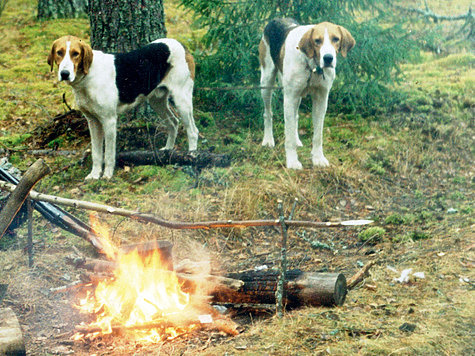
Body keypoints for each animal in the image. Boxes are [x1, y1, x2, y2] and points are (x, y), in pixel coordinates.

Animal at [47, 36, 199, 179]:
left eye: (76, 53)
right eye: (59, 52)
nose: (64, 74)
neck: (88, 74)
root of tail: (181, 45)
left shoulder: (109, 121)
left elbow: (108, 154)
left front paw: (107, 175)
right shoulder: (93, 122)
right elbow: (96, 153)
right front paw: (94, 175)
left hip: (182, 99)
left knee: (193, 131)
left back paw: (191, 157)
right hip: (157, 101)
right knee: (173, 123)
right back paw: (167, 151)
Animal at [258, 18, 356, 170]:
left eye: (336, 39)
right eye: (317, 40)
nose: (328, 58)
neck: (312, 66)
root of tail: (277, 19)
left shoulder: (321, 99)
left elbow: (318, 135)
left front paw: (318, 158)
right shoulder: (289, 98)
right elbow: (289, 136)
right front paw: (292, 161)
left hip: (297, 95)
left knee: (295, 117)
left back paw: (297, 140)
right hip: (267, 82)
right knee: (268, 113)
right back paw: (268, 140)